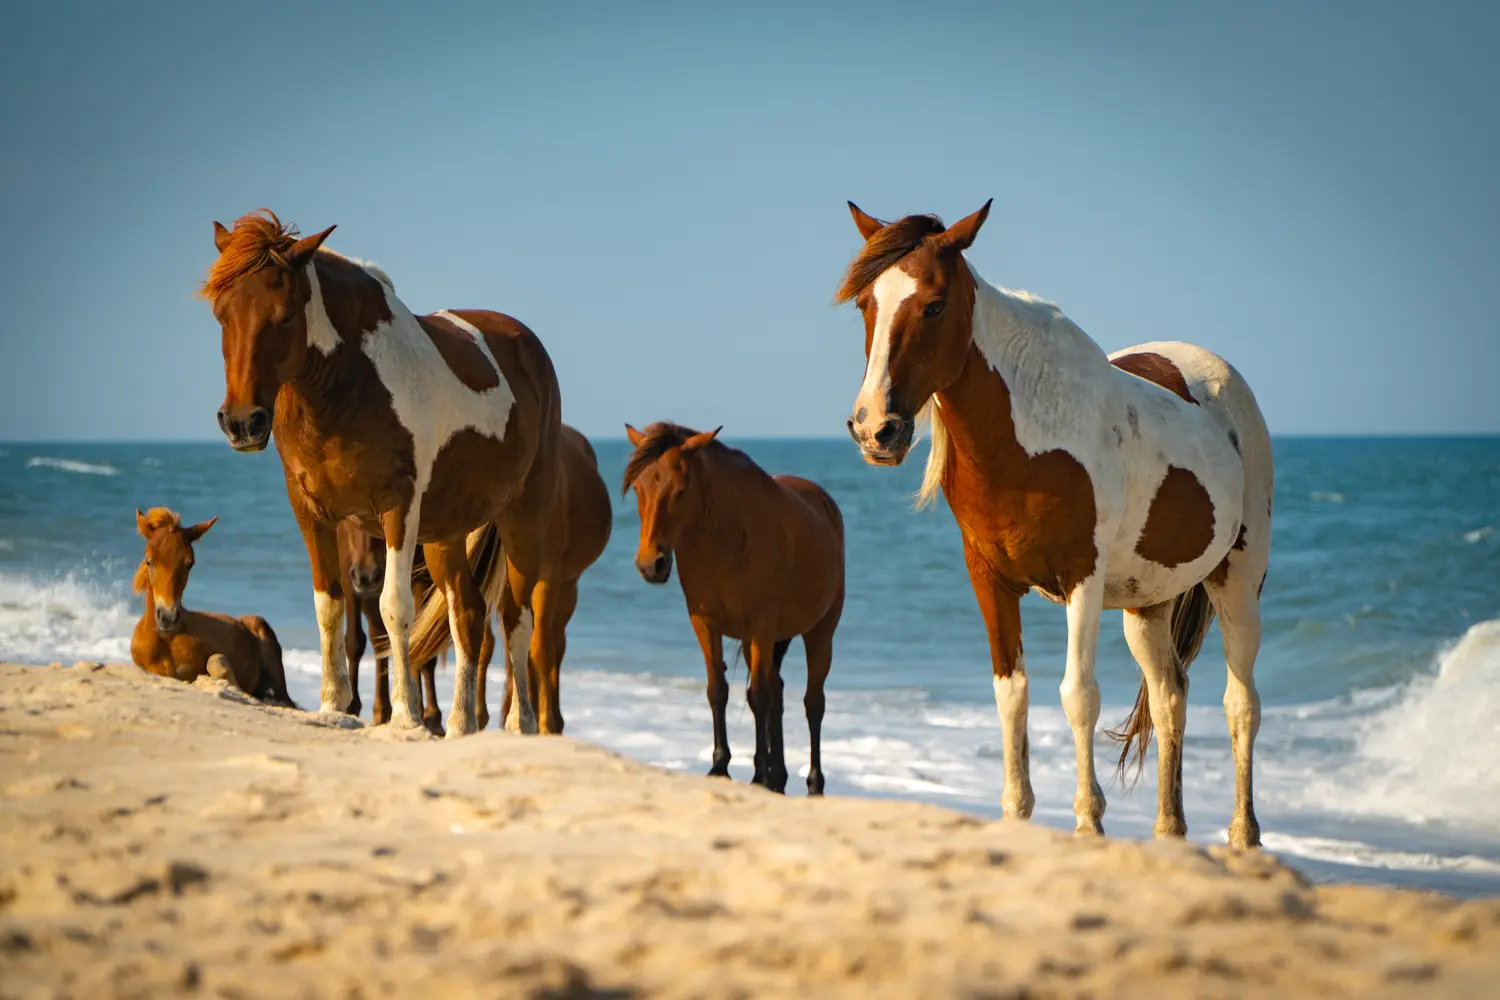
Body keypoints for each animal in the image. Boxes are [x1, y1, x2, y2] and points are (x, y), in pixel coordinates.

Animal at [336, 520, 444, 735]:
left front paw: (431, 716)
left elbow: (422, 645)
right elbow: (354, 642)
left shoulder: (421, 577)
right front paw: (352, 706)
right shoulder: (347, 573)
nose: (366, 576)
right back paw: (382, 711)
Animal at [471, 423, 612, 734]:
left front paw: (546, 723)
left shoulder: (547, 579)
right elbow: (486, 643)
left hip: (564, 586)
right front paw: (478, 716)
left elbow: (541, 650)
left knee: (550, 645)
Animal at [622, 422, 845, 794]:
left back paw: (812, 782)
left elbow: (757, 696)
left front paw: (756, 773)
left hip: (818, 633)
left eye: (681, 489)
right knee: (778, 691)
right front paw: (721, 766)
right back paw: (778, 776)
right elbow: (719, 690)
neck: (723, 537)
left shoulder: (760, 624)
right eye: (639, 487)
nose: (650, 564)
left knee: (812, 703)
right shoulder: (704, 623)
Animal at [838, 201, 1273, 848]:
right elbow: (1011, 693)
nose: (875, 429)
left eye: (935, 304)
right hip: (1148, 603)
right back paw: (1169, 830)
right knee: (1170, 698)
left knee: (1240, 702)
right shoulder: (988, 580)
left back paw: (1244, 836)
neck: (1028, 437)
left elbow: (1078, 696)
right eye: (866, 303)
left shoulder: (1081, 579)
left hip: (1238, 580)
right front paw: (1017, 812)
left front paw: (1088, 820)